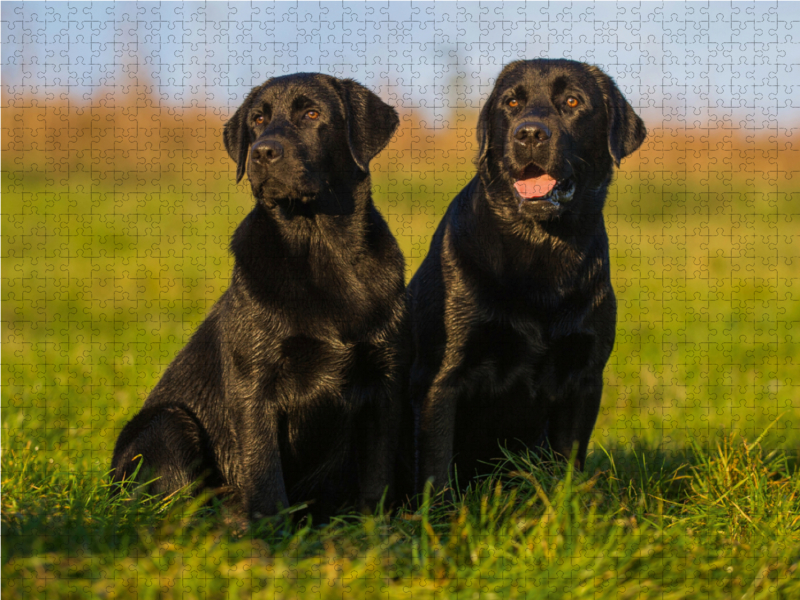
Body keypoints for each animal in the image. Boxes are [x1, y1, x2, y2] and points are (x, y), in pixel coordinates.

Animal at [111, 72, 406, 520]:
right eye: (258, 119)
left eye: (312, 114)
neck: (320, 248)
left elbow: (378, 480)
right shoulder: (254, 386)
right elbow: (265, 477)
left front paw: (379, 531)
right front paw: (271, 532)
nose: (262, 152)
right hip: (168, 424)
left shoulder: (383, 382)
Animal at [410, 59, 648, 492]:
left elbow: (568, 462)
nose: (530, 133)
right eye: (511, 103)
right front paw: (437, 512)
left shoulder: (585, 377)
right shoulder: (439, 377)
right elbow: (436, 468)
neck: (542, 246)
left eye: (572, 101)